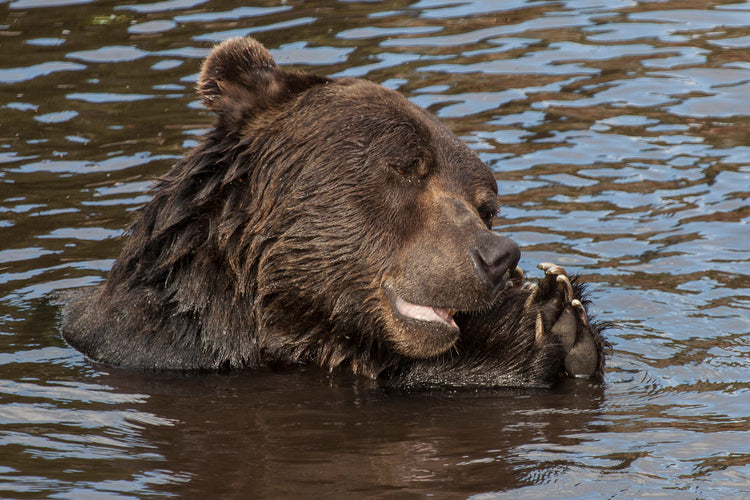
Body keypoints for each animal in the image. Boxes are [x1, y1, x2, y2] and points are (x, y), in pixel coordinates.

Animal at [61, 37, 605, 388]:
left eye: (485, 206)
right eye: (407, 166)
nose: (498, 256)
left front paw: (563, 316)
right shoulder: (155, 345)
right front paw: (544, 316)